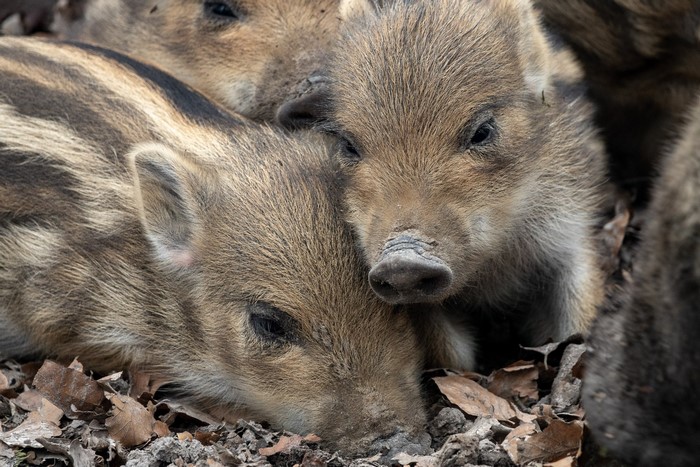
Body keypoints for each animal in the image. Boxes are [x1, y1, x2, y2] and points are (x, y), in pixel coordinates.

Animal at [323, 0, 608, 365]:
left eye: (482, 131)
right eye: (348, 145)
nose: (402, 261)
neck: (492, 267)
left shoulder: (570, 228)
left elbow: (579, 314)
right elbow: (453, 356)